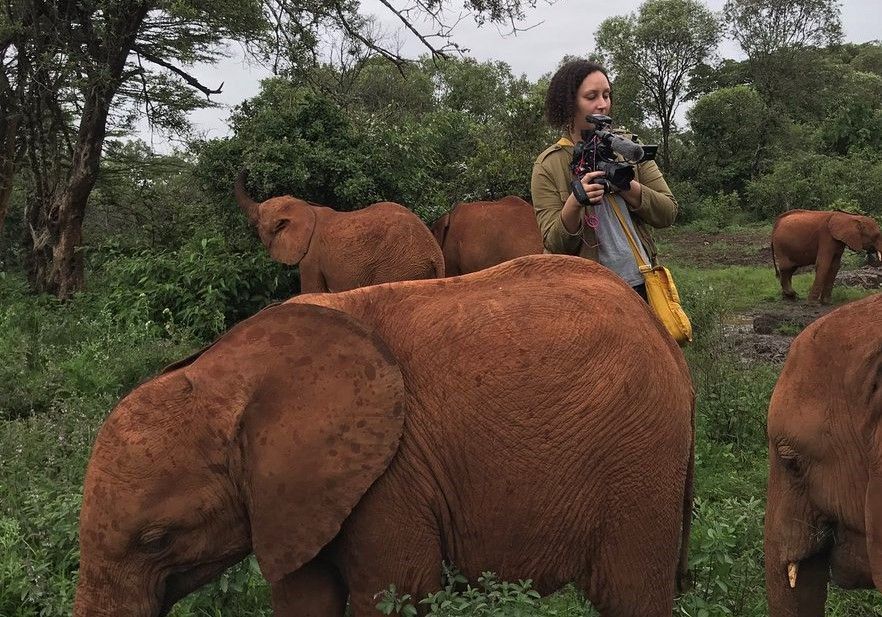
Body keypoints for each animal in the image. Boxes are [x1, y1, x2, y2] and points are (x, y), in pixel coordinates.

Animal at [74, 255, 695, 617]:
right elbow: (303, 599)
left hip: (640, 456)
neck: (228, 371)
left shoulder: (390, 479)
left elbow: (394, 592)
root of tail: (664, 339)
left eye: (156, 540)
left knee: (631, 595)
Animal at [234, 171, 444, 292]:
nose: (248, 169)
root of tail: (435, 256)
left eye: (257, 222)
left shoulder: (312, 258)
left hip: (398, 268)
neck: (307, 208)